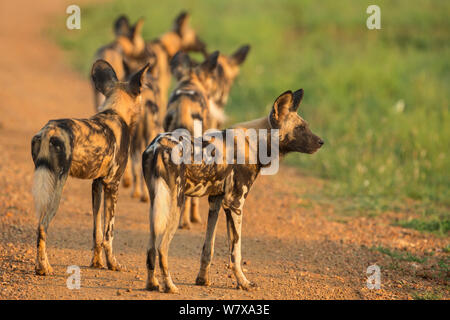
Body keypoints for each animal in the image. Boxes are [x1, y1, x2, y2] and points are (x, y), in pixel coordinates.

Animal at [30, 58, 149, 274]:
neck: (115, 112)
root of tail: (50, 130)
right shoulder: (113, 185)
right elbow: (109, 233)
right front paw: (113, 264)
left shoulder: (97, 184)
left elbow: (97, 232)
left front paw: (97, 263)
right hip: (57, 187)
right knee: (42, 226)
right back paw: (44, 267)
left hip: (46, 181)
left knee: (39, 225)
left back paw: (39, 265)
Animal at [143, 87, 324, 292]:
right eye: (300, 128)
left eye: (306, 126)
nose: (321, 142)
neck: (257, 143)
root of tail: (158, 146)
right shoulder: (235, 204)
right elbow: (235, 252)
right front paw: (243, 283)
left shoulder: (215, 202)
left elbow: (208, 247)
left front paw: (202, 280)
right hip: (176, 206)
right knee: (162, 247)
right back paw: (170, 286)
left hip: (157, 206)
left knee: (151, 247)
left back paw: (152, 284)